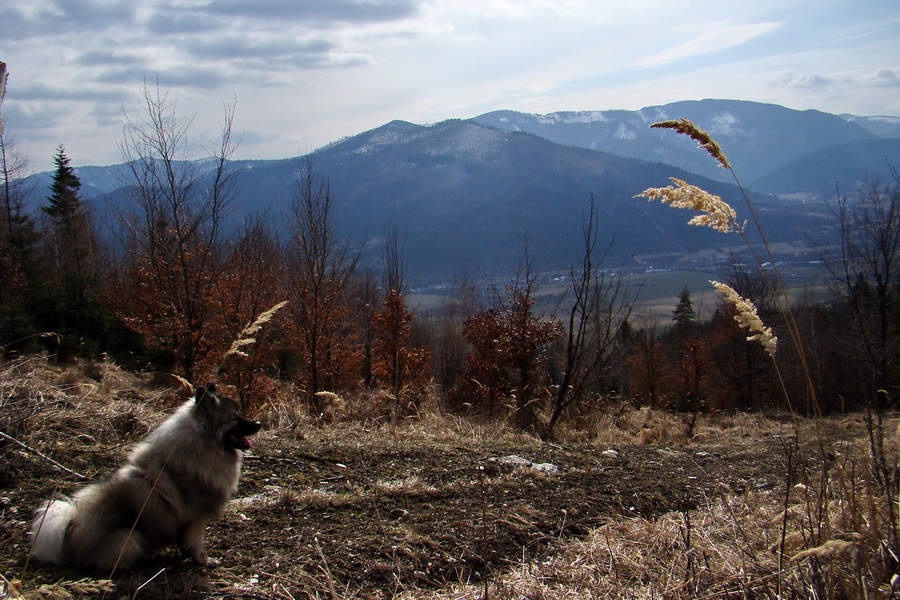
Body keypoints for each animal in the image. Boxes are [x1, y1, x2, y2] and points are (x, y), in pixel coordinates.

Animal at [29, 384, 260, 572]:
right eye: (234, 418)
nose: (258, 423)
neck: (201, 443)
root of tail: (69, 539)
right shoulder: (197, 517)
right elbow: (197, 544)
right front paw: (203, 561)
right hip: (131, 538)